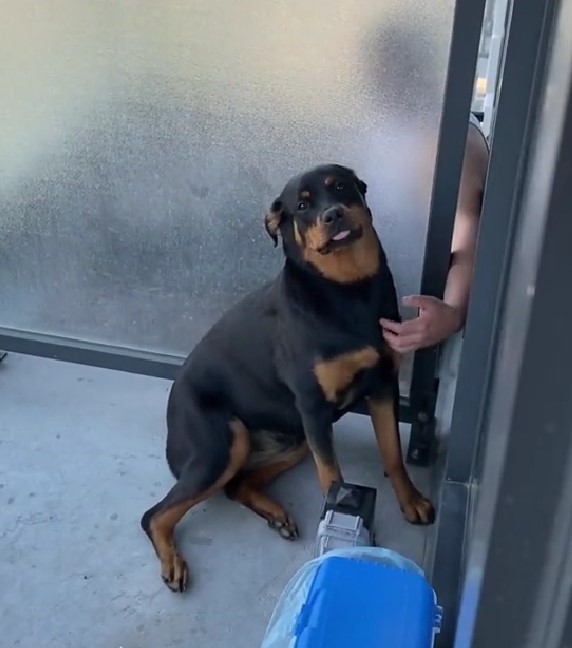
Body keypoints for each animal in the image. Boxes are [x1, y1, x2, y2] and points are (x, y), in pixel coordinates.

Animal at [142, 163, 434, 592]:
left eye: (341, 187)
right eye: (302, 206)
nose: (333, 215)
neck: (347, 289)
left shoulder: (382, 387)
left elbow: (393, 454)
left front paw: (410, 500)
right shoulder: (313, 406)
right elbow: (332, 479)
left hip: (295, 441)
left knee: (237, 485)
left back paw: (275, 513)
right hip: (224, 445)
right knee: (155, 515)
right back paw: (173, 562)